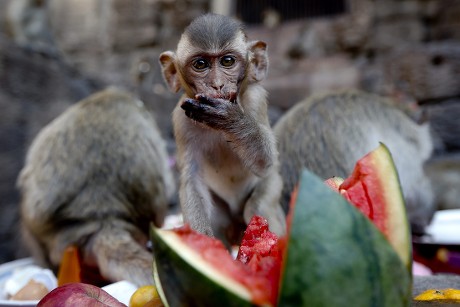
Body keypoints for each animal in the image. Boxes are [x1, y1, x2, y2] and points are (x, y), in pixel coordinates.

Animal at [160, 13, 286, 248]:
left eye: (227, 61)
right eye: (200, 64)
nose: (217, 85)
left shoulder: (255, 100)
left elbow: (265, 162)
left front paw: (229, 118)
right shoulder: (181, 120)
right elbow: (192, 180)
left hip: (272, 187)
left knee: (259, 205)